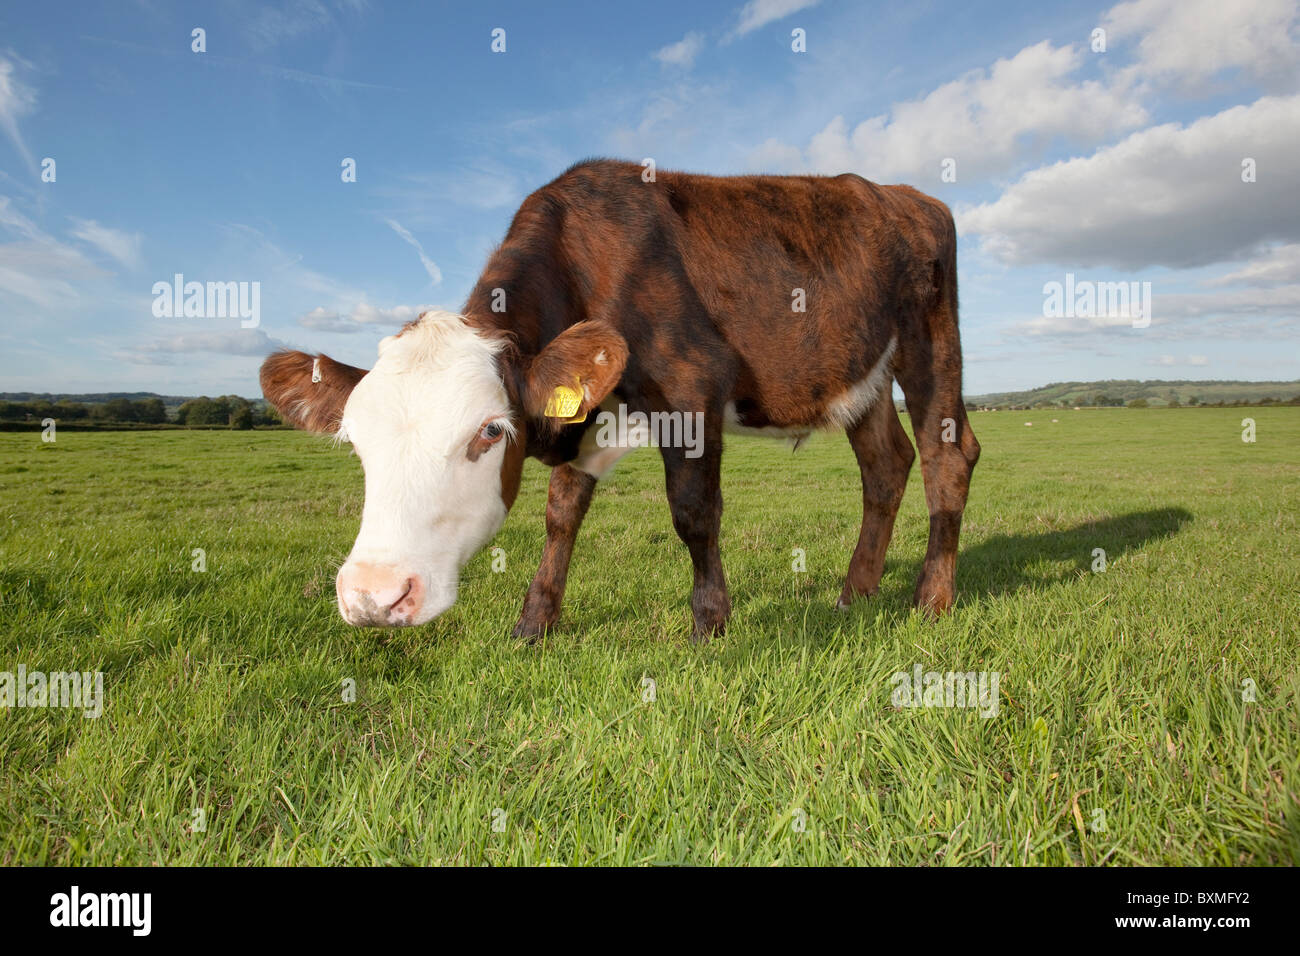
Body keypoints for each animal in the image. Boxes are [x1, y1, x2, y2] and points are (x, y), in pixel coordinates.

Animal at [258, 158, 977, 642]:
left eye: (489, 431)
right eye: (356, 441)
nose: (374, 594)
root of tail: (907, 195)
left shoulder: (691, 387)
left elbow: (693, 513)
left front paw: (710, 625)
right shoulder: (589, 408)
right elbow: (562, 513)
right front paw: (534, 622)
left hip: (931, 342)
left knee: (949, 456)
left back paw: (931, 599)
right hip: (863, 374)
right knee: (886, 464)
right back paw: (855, 595)